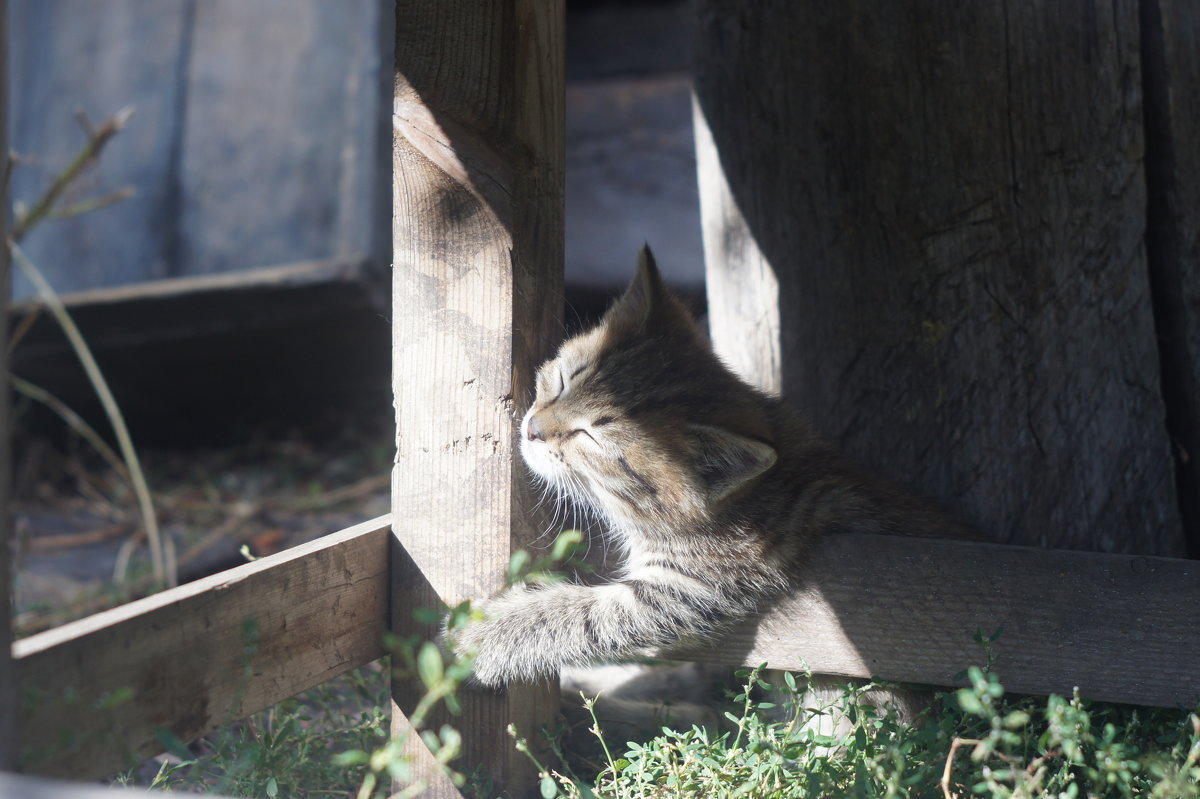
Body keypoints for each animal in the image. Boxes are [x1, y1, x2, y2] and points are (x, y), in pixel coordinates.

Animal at [451, 245, 964, 681]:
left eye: (590, 437)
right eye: (561, 380)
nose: (533, 428)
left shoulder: (691, 589)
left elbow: (586, 616)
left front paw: (486, 635)